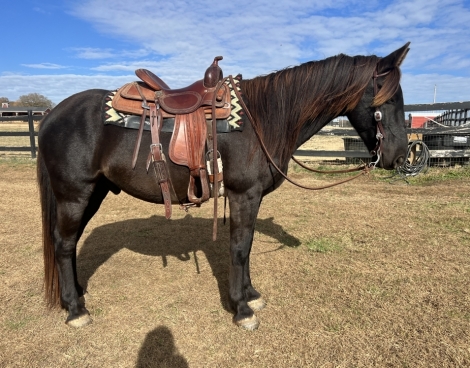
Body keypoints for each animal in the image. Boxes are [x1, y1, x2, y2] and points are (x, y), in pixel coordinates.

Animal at [37, 42, 412, 330]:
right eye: (390, 98)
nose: (399, 156)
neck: (263, 118)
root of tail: (52, 113)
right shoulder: (243, 195)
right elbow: (239, 249)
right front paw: (241, 309)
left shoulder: (250, 198)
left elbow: (246, 247)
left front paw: (251, 295)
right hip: (74, 194)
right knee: (64, 243)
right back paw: (75, 310)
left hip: (93, 192)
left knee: (70, 242)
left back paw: (78, 292)